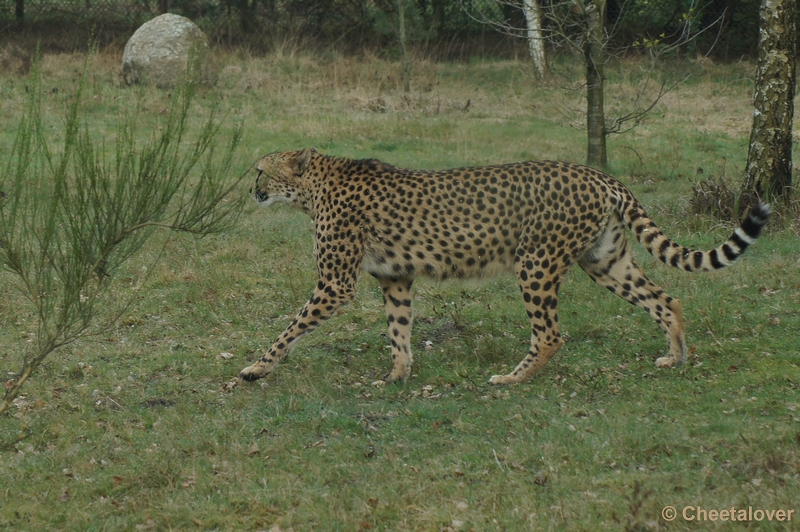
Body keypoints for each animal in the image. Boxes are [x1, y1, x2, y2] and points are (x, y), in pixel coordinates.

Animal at [239, 148, 768, 384]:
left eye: (261, 170)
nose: (253, 190)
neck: (315, 187)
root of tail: (597, 174)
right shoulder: (396, 276)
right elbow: (399, 329)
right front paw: (398, 374)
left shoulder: (335, 284)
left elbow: (290, 327)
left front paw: (256, 367)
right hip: (604, 261)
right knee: (665, 298)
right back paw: (675, 356)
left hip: (535, 262)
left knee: (551, 333)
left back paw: (513, 378)